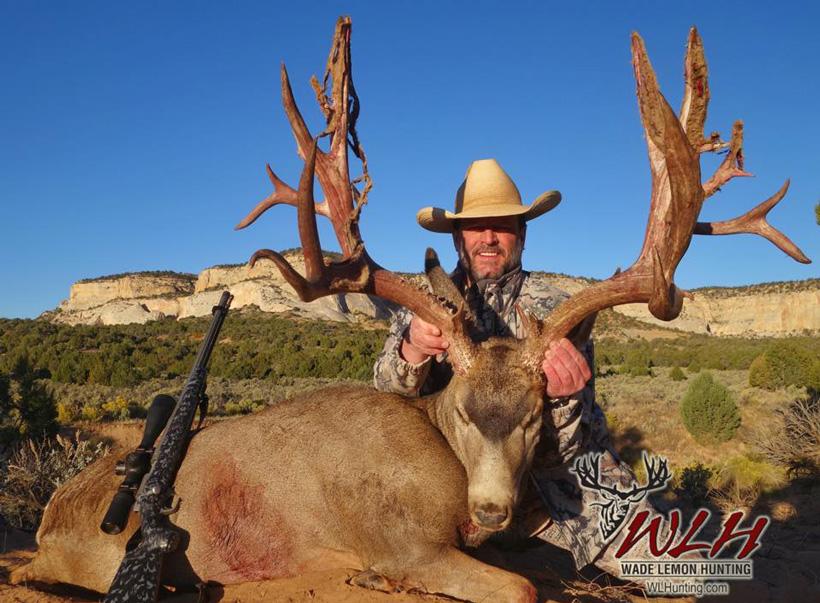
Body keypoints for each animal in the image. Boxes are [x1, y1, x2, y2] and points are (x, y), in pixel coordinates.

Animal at [12, 17, 809, 603]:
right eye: (463, 410)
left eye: (534, 414)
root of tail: (49, 519)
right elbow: (521, 587)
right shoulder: (403, 540)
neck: (443, 461)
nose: (490, 510)